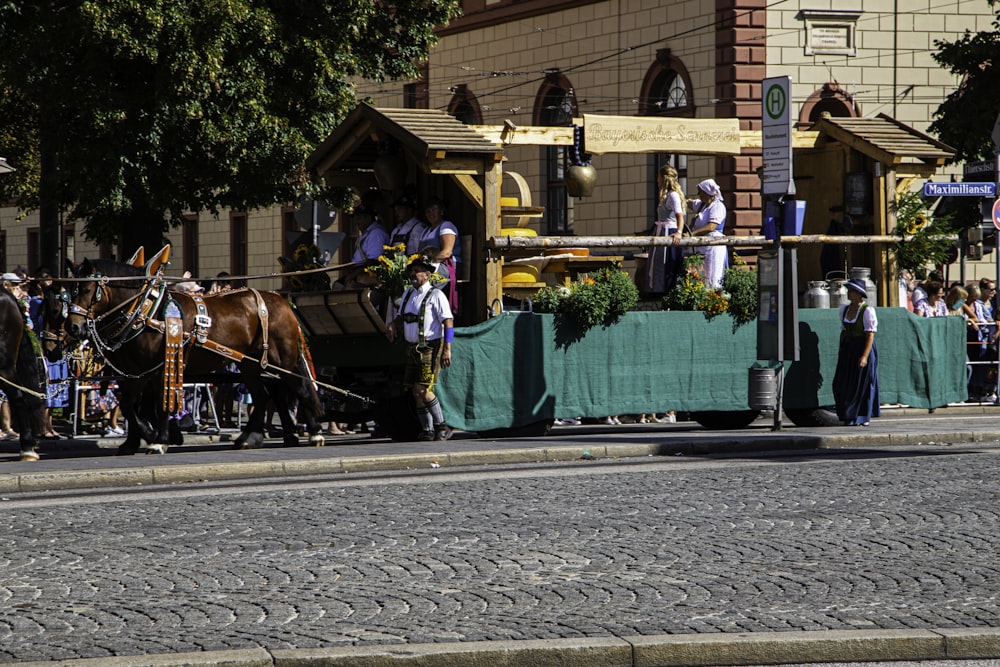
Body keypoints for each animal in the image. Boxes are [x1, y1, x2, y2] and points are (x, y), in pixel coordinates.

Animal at [64, 254, 322, 454]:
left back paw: (315, 433)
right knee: (264, 395)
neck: (148, 311)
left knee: (299, 388)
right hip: (250, 364)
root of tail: (280, 300)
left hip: (282, 360)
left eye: (86, 289)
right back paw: (251, 437)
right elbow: (129, 405)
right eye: (67, 291)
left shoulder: (161, 368)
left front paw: (158, 440)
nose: (73, 327)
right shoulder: (134, 373)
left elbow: (159, 405)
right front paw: (137, 439)